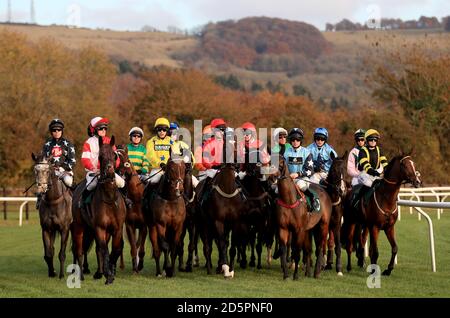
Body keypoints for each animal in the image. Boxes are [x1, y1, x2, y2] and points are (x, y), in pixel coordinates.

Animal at [71, 135, 125, 284]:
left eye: (114, 155)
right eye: (100, 156)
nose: (110, 171)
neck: (110, 200)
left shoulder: (117, 229)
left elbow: (115, 250)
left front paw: (110, 272)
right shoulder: (100, 228)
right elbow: (104, 250)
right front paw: (108, 275)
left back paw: (98, 273)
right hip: (79, 227)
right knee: (79, 250)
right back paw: (81, 275)